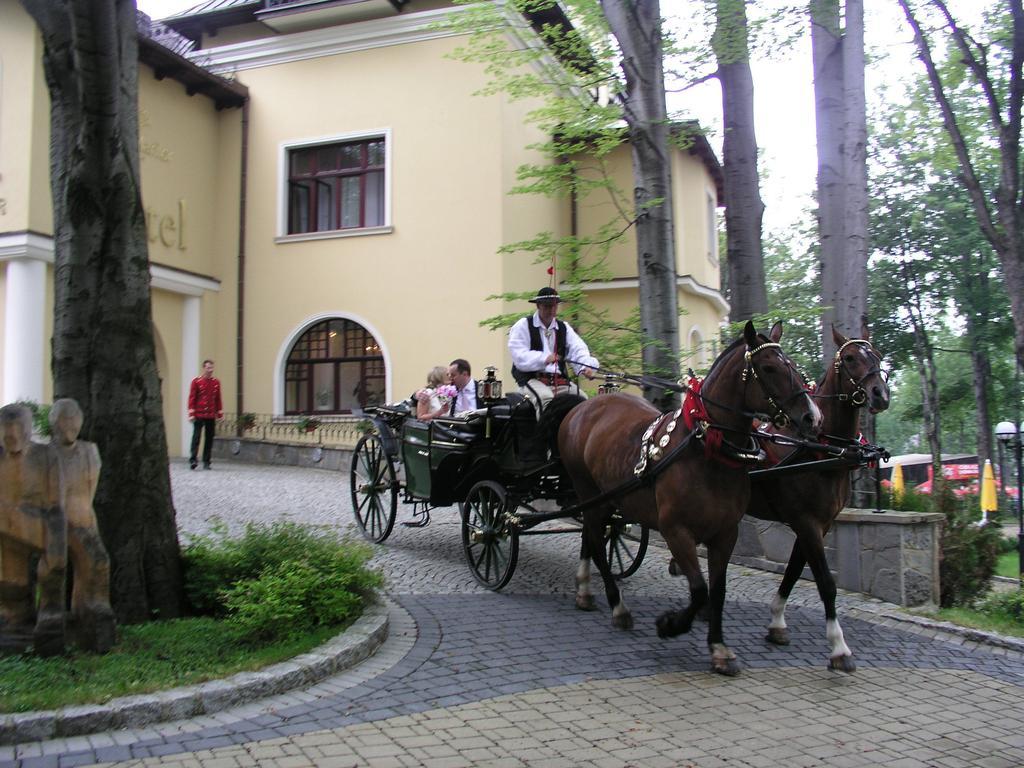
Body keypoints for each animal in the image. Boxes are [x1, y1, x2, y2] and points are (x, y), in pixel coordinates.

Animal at [548, 321, 819, 675]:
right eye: (769, 367)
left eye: (793, 367)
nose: (811, 417)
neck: (705, 447)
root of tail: (581, 407)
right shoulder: (676, 530)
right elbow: (700, 590)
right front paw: (670, 624)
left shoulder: (725, 533)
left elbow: (718, 590)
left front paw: (718, 647)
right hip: (590, 493)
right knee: (595, 541)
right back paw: (618, 607)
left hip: (601, 500)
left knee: (591, 538)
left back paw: (585, 591)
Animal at [753, 325, 888, 671]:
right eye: (850, 358)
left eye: (877, 354)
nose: (880, 394)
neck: (820, 448)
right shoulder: (806, 522)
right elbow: (825, 582)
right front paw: (839, 648)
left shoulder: (819, 524)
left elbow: (793, 570)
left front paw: (777, 623)